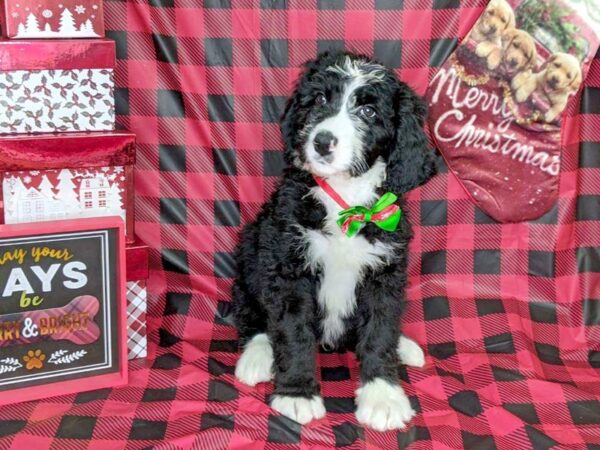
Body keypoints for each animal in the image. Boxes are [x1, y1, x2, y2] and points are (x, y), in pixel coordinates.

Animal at [232, 52, 434, 432]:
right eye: (319, 100)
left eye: (369, 111)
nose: (322, 141)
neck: (345, 202)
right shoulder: (288, 266)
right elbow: (292, 332)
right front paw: (297, 394)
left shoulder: (385, 272)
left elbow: (380, 331)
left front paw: (383, 395)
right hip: (251, 251)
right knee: (252, 317)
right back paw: (257, 356)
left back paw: (405, 346)